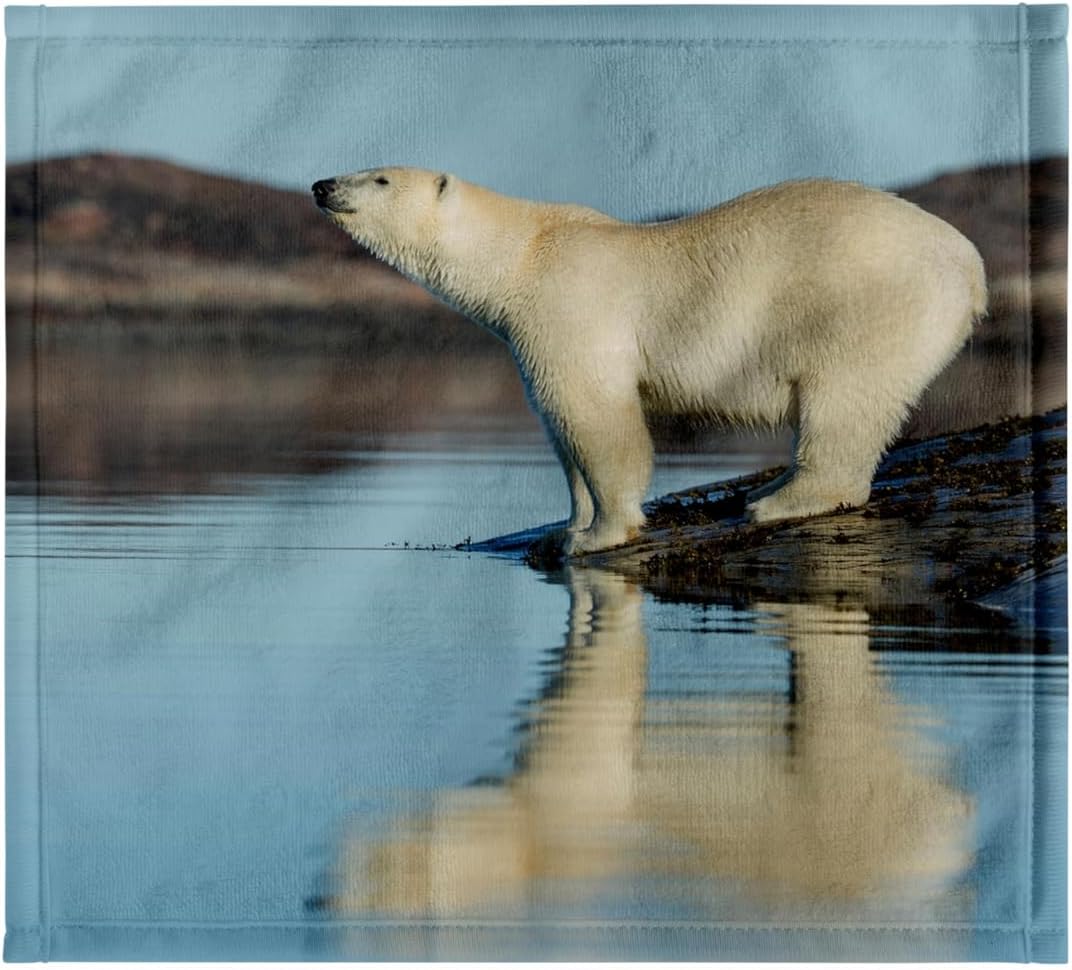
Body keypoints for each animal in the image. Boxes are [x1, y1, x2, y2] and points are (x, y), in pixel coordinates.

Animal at [312, 169, 986, 556]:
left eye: (379, 178)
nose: (322, 186)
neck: (522, 255)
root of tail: (971, 266)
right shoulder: (526, 334)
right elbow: (562, 433)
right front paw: (568, 527)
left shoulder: (570, 305)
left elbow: (597, 418)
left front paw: (601, 534)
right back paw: (771, 484)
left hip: (863, 304)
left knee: (843, 400)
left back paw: (778, 501)